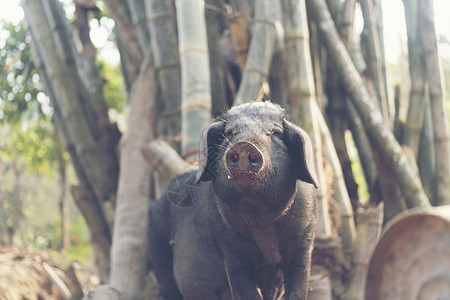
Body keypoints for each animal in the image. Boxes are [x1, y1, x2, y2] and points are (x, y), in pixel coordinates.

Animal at [149, 102, 318, 298]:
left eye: (274, 132)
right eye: (230, 133)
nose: (245, 145)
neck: (261, 221)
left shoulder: (305, 241)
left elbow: (298, 286)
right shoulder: (229, 248)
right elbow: (245, 289)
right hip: (159, 250)